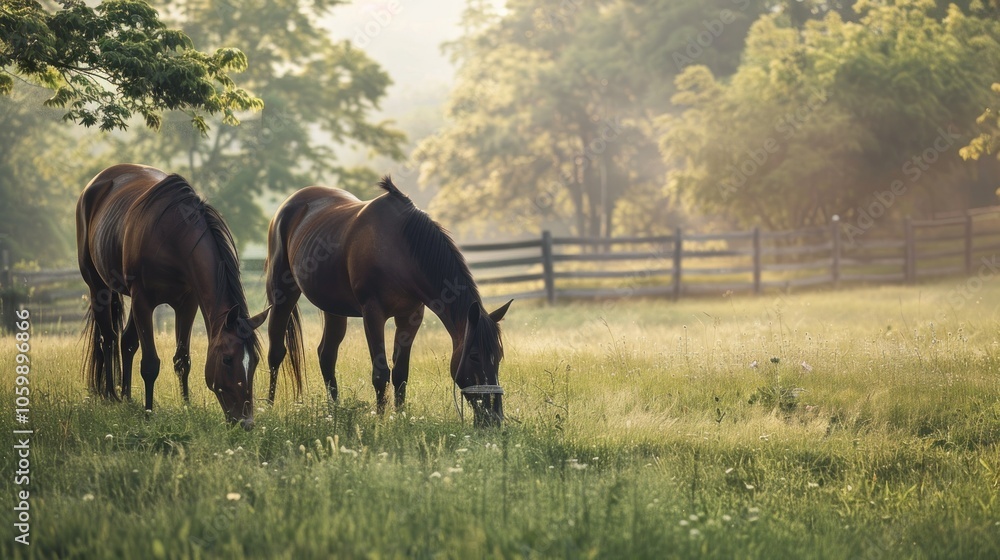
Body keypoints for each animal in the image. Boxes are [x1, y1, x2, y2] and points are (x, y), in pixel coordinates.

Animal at [76, 164, 269, 428]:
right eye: (227, 360)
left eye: (256, 361)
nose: (246, 422)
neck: (172, 237)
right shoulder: (143, 301)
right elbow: (150, 363)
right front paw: (149, 413)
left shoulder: (187, 304)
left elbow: (182, 360)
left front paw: (187, 407)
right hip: (99, 287)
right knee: (109, 339)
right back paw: (111, 396)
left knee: (126, 342)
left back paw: (127, 398)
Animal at [263, 176, 511, 426]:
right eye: (474, 356)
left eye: (499, 356)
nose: (495, 418)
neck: (400, 250)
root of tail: (288, 205)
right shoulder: (373, 314)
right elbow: (380, 373)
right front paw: (380, 422)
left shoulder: (410, 317)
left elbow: (400, 373)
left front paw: (399, 418)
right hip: (282, 295)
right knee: (276, 352)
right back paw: (269, 408)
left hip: (333, 308)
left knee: (327, 355)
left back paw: (334, 412)